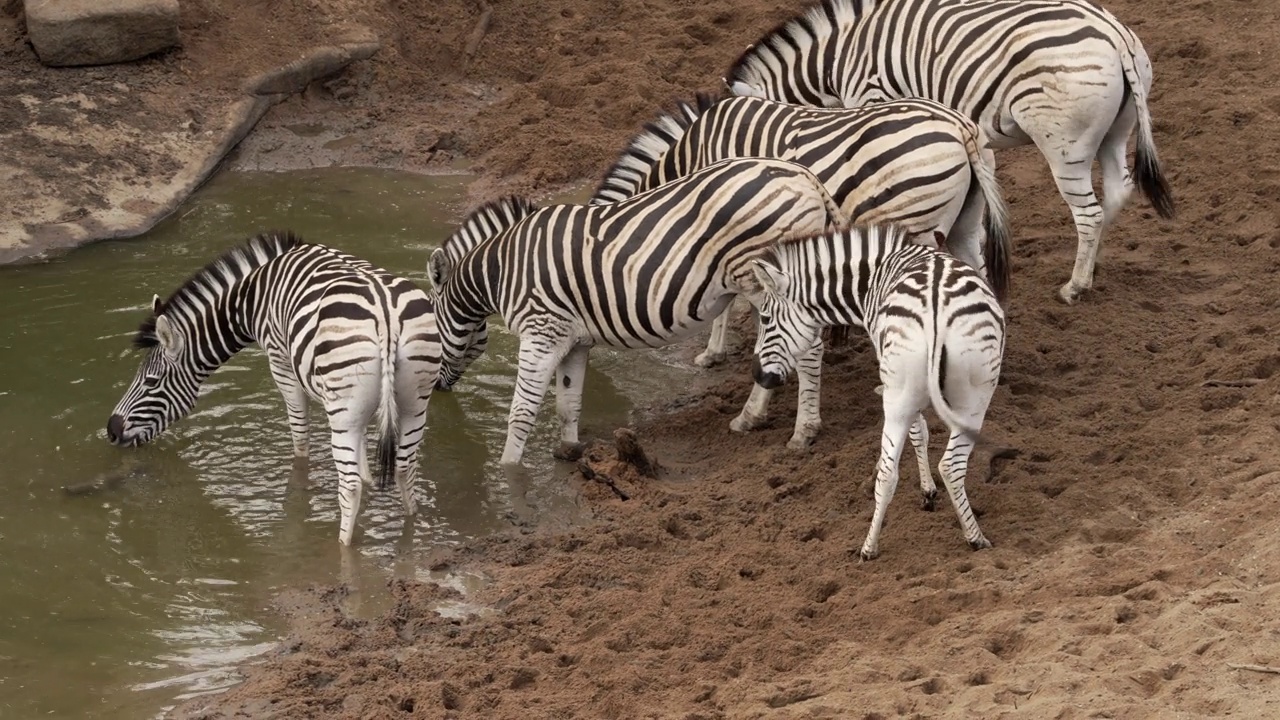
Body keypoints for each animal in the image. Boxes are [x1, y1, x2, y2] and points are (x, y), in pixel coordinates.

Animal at [102, 229, 440, 543]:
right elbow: (363, 458)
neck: (251, 296)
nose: (112, 430)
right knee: (404, 470)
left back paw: (342, 548)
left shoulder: (280, 362)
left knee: (350, 486)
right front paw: (370, 481)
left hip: (344, 410)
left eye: (151, 382)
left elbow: (300, 438)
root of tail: (387, 317)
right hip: (414, 404)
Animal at [430, 155, 849, 466]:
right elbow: (568, 403)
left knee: (807, 349)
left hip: (764, 280)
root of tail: (805, 176)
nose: (436, 390)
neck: (503, 268)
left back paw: (802, 431)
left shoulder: (541, 333)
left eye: (430, 333)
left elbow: (522, 412)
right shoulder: (574, 339)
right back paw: (750, 419)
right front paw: (569, 451)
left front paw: (508, 474)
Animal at [588, 91, 1008, 366]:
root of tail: (957, 124)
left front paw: (711, 353)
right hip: (966, 222)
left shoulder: (723, 230)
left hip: (918, 219)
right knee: (977, 276)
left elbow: (728, 301)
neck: (692, 158)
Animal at [727, 0, 1172, 304]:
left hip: (1064, 144)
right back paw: (1092, 266)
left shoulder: (873, 101)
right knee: (1116, 191)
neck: (837, 58)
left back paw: (1075, 285)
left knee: (1088, 212)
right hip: (1114, 132)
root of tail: (1112, 32)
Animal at [747, 222, 1003, 556]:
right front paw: (929, 490)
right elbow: (922, 431)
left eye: (765, 319)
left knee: (895, 471)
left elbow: (918, 433)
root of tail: (936, 307)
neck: (872, 280)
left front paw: (927, 490)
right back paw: (973, 536)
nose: (758, 375)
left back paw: (870, 547)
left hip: (906, 395)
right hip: (970, 394)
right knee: (949, 465)